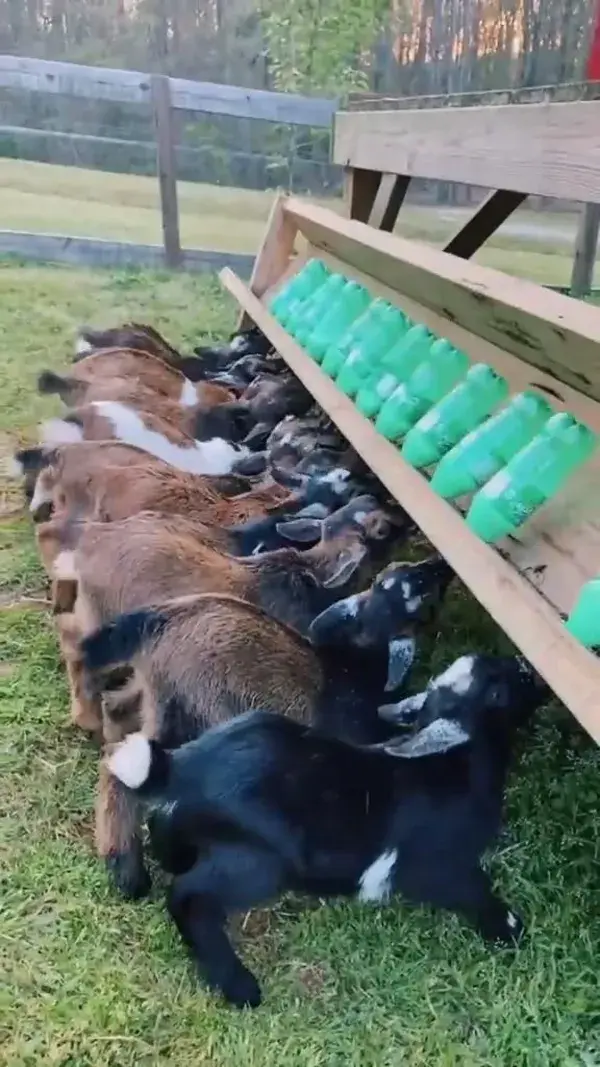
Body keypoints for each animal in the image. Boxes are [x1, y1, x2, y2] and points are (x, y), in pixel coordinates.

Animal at [104, 648, 546, 1007]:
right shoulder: (443, 866)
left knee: (164, 833)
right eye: (504, 686)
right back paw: (239, 987)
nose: (531, 672)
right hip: (258, 863)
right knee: (188, 896)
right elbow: (475, 890)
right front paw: (510, 928)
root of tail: (182, 768)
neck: (458, 755)